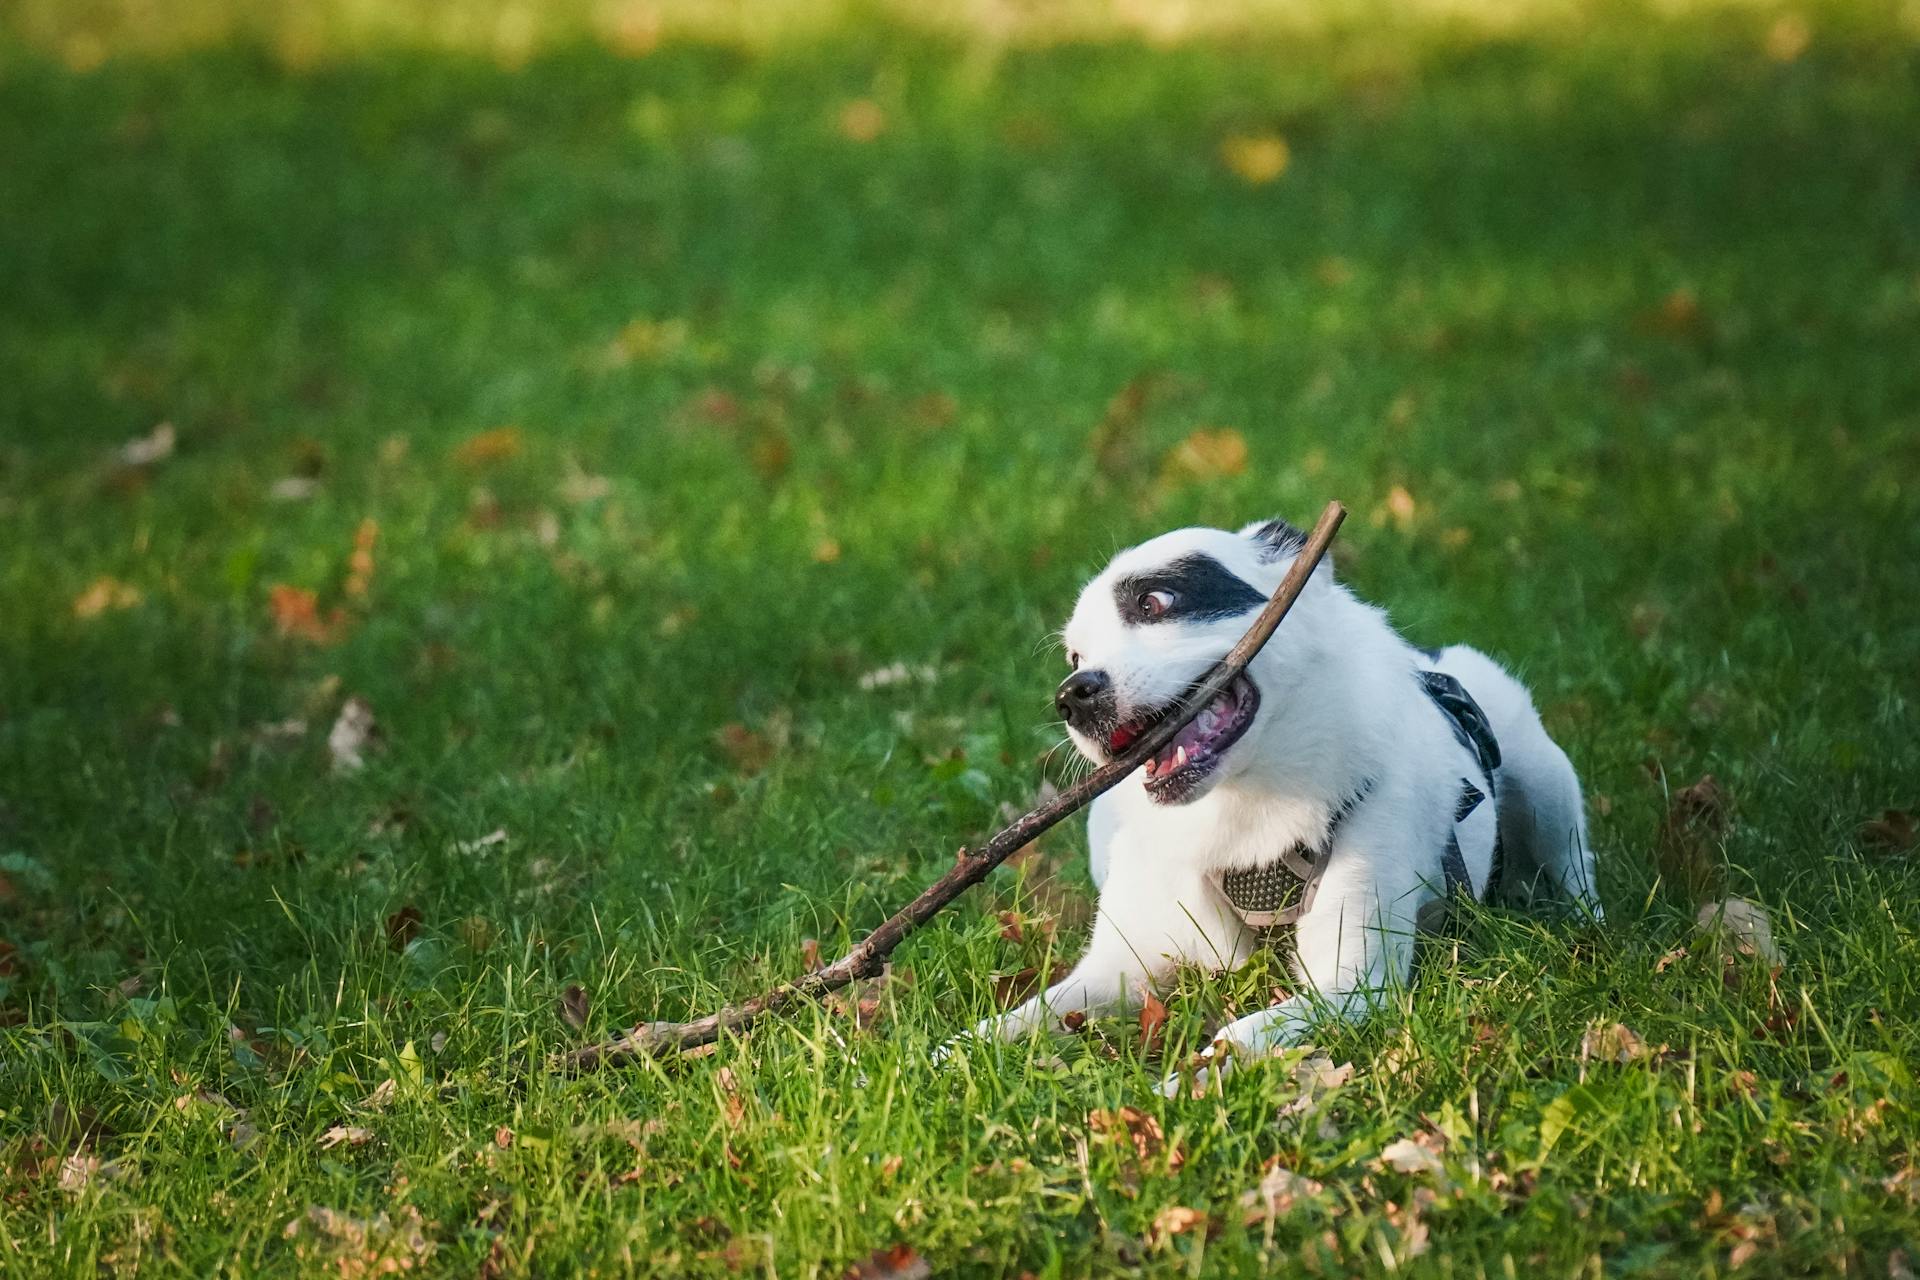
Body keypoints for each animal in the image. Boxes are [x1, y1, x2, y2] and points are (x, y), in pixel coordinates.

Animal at [967, 514, 1597, 1097]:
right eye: (1075, 656)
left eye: (1154, 602)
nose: (1071, 697)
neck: (1239, 807)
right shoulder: (1116, 970)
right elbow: (1011, 1021)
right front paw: (948, 1066)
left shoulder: (1350, 988)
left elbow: (1233, 1039)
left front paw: (1163, 1102)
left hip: (1547, 781)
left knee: (1575, 871)